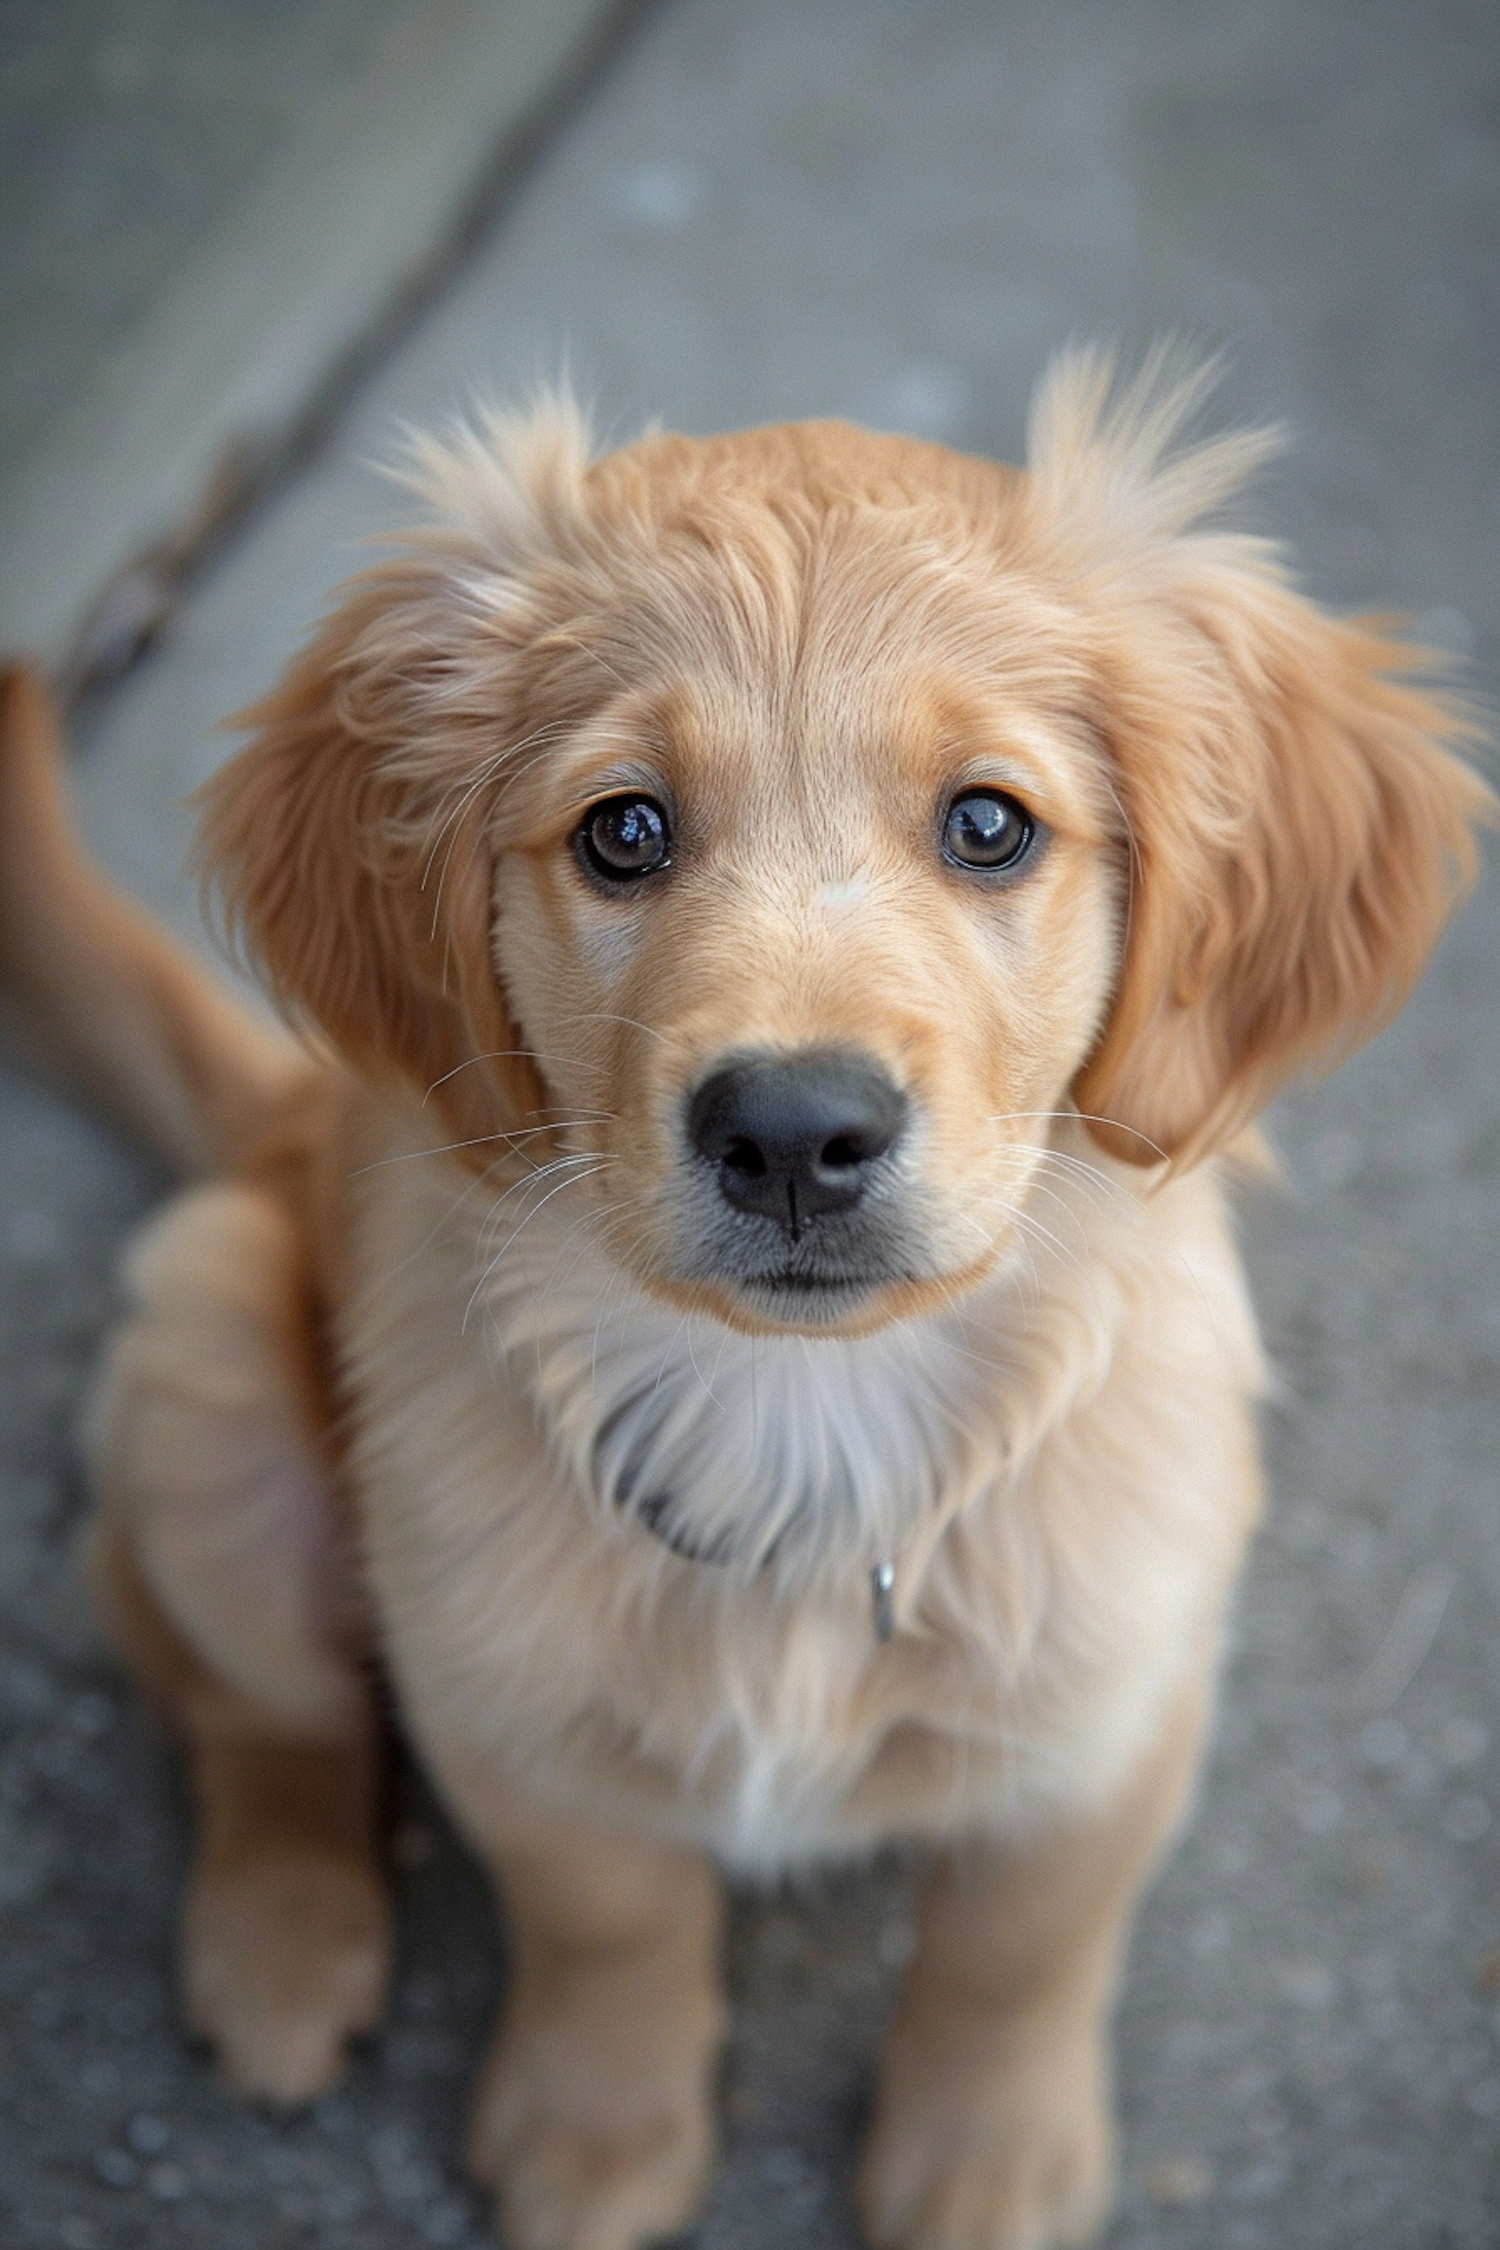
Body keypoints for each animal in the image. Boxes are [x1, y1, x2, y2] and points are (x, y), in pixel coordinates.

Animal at [0, 351, 1484, 2250]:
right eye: (624, 832)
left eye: (989, 824)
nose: (792, 1131)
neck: (810, 1417)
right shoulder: (506, 1708)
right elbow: (609, 1922)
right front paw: (597, 2132)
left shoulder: (1118, 1704)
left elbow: (1022, 1949)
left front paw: (987, 2158)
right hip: (206, 1375)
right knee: (256, 1707)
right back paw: (281, 1942)